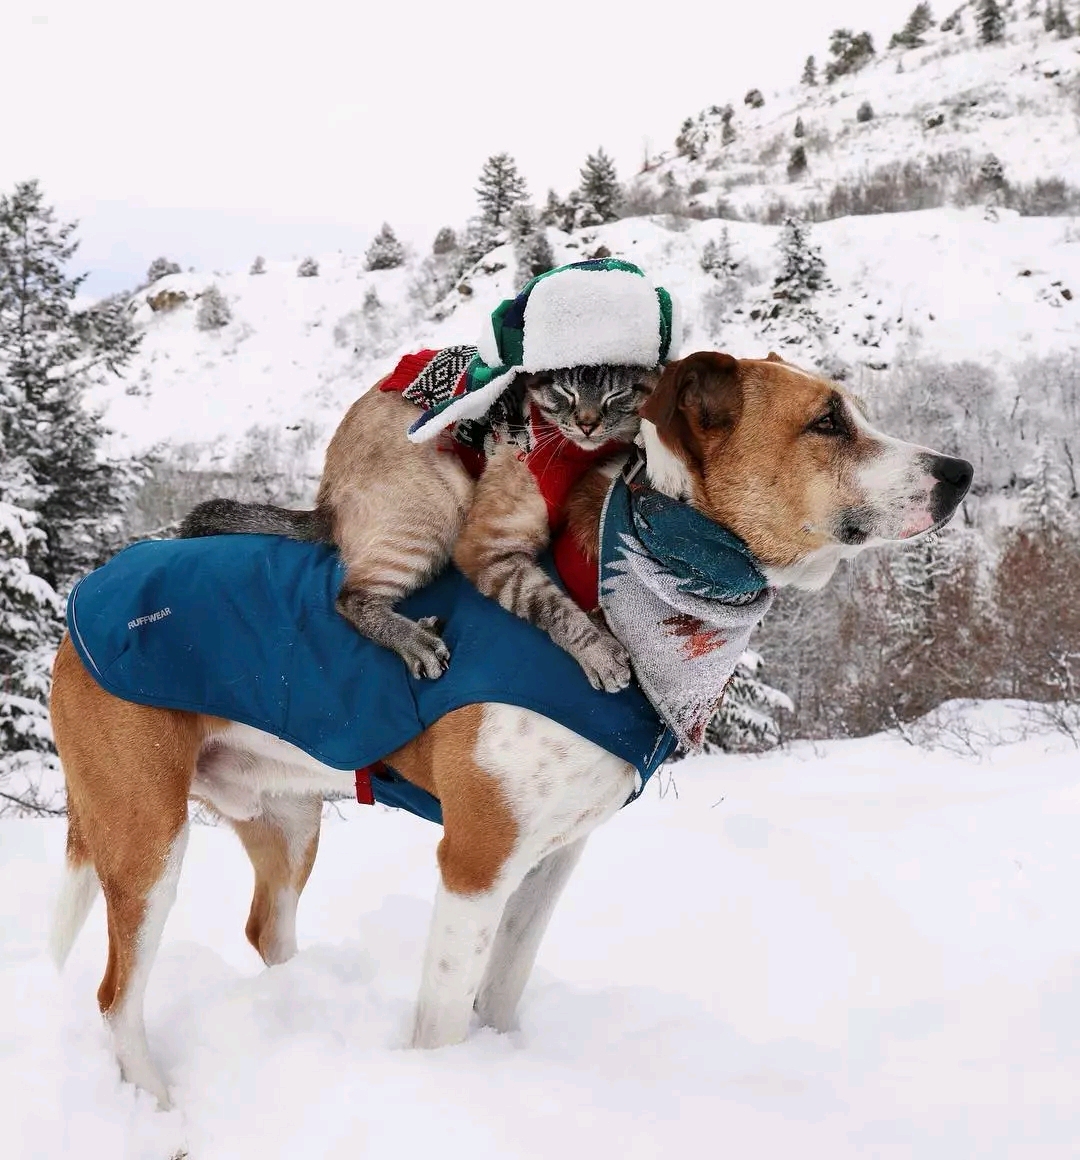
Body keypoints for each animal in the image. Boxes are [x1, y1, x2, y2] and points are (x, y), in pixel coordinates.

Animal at [180, 361, 654, 686]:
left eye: (616, 395)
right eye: (564, 391)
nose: (588, 424)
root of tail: (324, 499)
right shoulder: (485, 547)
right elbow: (552, 606)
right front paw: (600, 654)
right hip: (435, 516)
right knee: (349, 598)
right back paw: (417, 643)